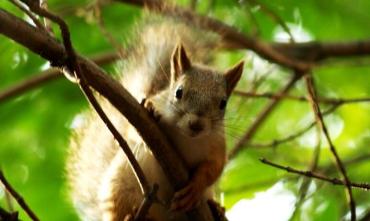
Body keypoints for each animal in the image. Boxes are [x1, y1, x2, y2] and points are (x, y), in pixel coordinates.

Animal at [67, 14, 243, 221]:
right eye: (179, 92)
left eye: (223, 103)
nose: (196, 125)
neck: (187, 138)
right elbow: (133, 131)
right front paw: (151, 110)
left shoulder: (217, 144)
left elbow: (213, 168)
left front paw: (195, 187)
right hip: (121, 186)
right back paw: (130, 216)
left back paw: (217, 210)